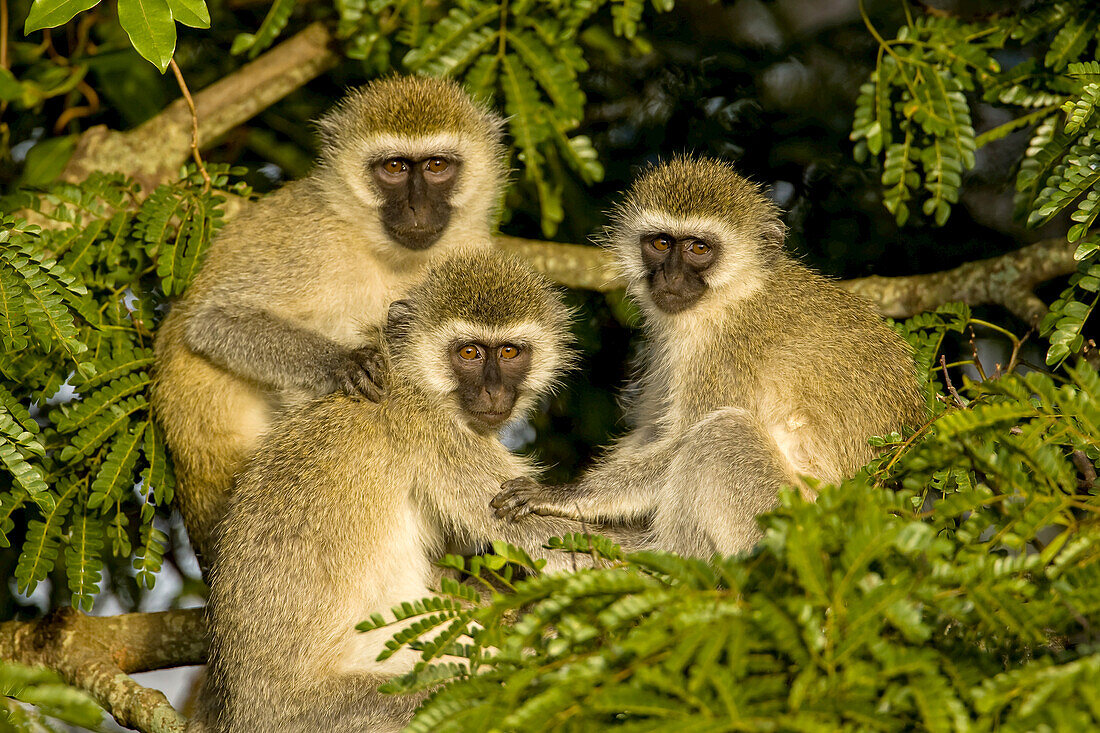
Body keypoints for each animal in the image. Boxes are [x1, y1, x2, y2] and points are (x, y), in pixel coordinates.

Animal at [154, 75, 506, 563]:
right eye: (394, 167)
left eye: (437, 165)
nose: (417, 207)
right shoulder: (310, 238)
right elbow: (214, 321)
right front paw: (345, 363)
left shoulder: (473, 251)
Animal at [202, 249, 607, 726]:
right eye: (469, 352)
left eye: (509, 351)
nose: (493, 392)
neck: (417, 380)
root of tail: (245, 712)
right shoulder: (435, 432)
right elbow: (544, 535)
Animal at [492, 155, 928, 554]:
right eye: (661, 243)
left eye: (699, 248)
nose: (670, 277)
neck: (735, 292)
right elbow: (651, 431)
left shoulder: (725, 351)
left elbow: (679, 441)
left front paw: (562, 495)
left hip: (788, 522)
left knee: (719, 435)